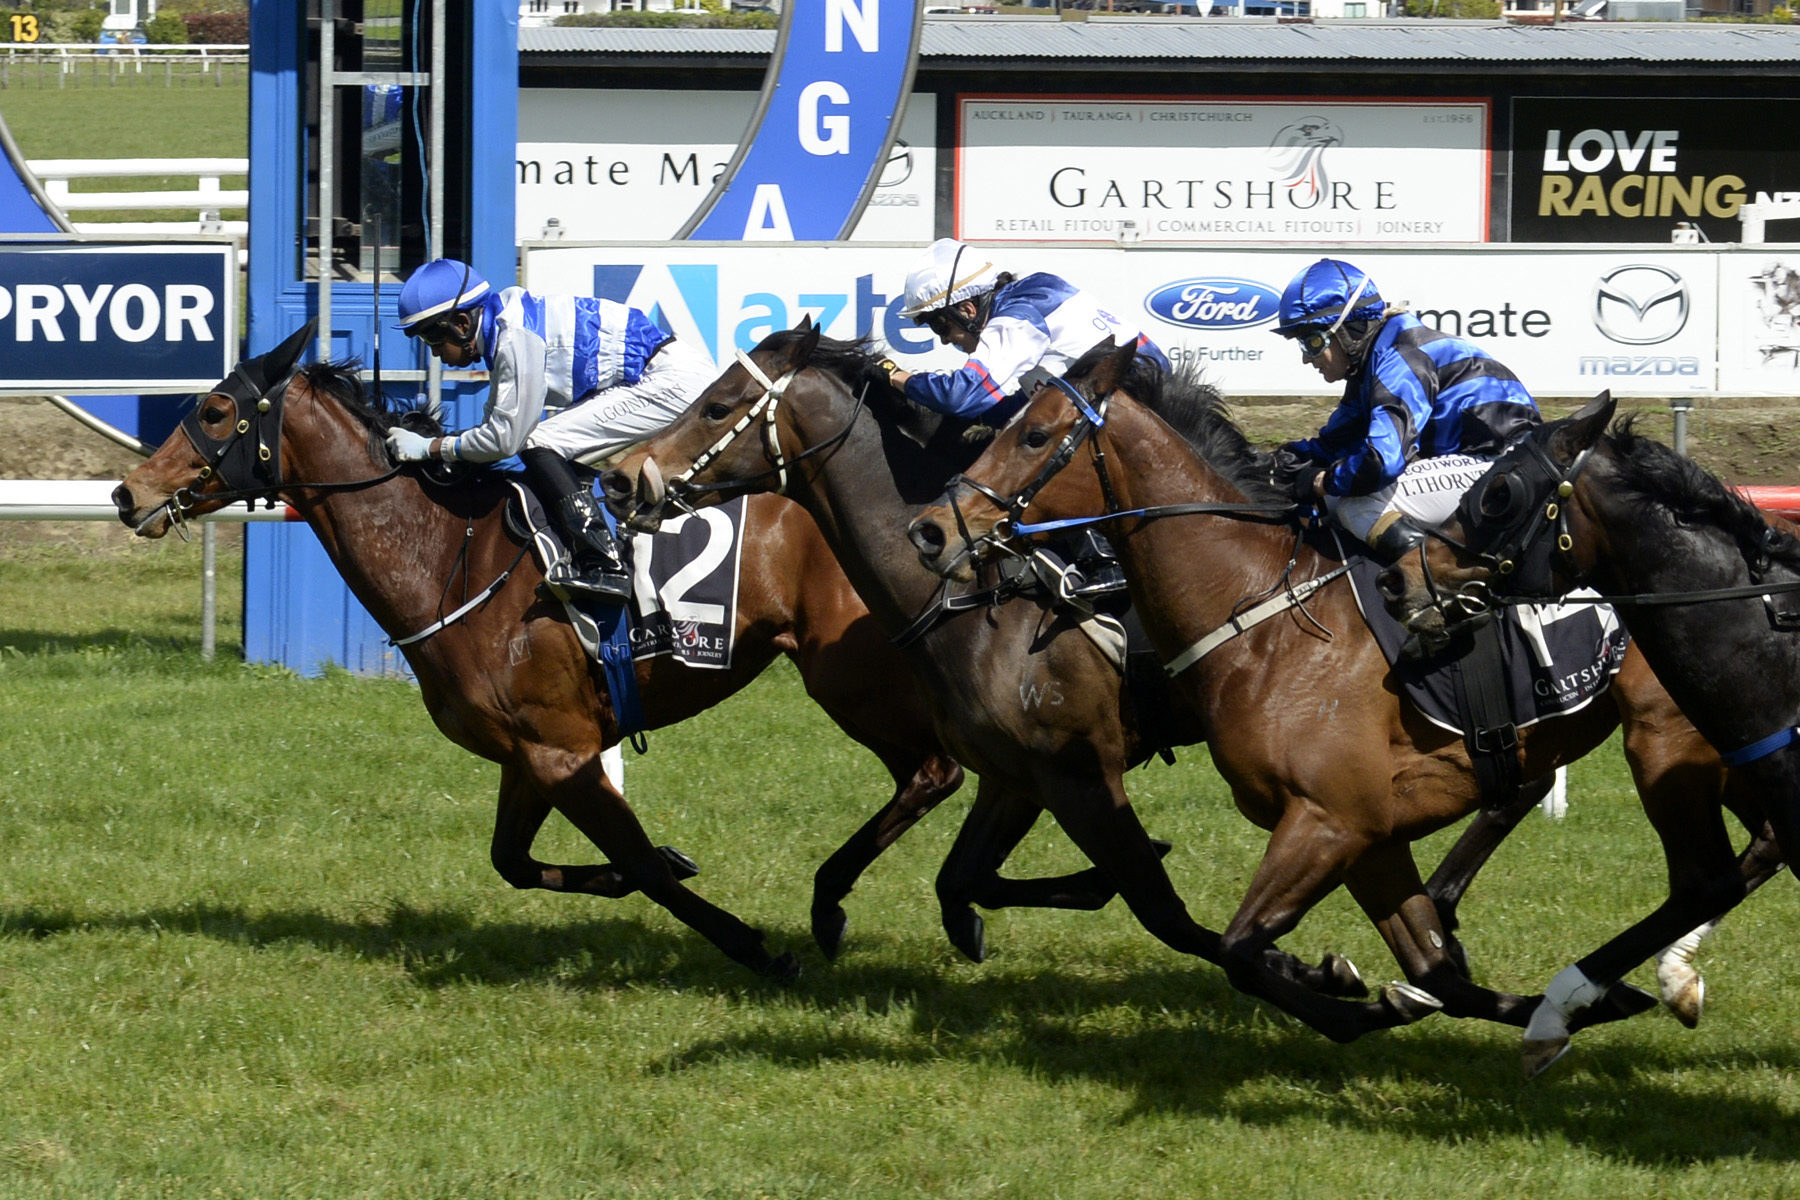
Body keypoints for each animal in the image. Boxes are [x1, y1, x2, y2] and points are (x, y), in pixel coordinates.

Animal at [105, 325, 979, 978]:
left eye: (218, 410)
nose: (126, 493)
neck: (448, 556)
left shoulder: (564, 750)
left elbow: (641, 866)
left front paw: (755, 947)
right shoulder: (528, 754)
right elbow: (517, 862)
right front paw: (662, 863)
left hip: (848, 677)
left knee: (935, 770)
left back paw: (853, 909)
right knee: (929, 773)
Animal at [601, 323, 1648, 1043]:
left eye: (716, 404)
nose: (622, 479)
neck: (981, 599)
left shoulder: (1080, 769)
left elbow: (1166, 912)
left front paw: (1326, 980)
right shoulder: (1018, 775)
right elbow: (963, 879)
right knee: (1505, 797)